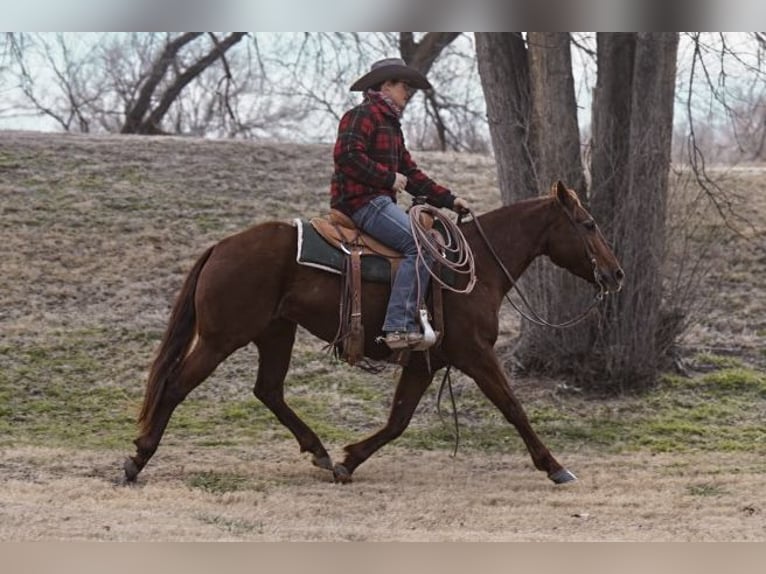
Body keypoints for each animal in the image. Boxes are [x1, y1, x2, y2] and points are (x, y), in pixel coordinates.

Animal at [124, 181, 624, 486]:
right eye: (588, 224)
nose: (616, 274)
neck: (476, 269)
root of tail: (220, 247)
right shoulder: (476, 353)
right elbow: (514, 408)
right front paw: (555, 466)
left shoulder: (427, 360)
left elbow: (398, 419)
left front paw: (348, 461)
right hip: (220, 337)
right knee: (175, 385)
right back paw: (137, 459)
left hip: (275, 332)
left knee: (268, 390)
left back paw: (319, 451)